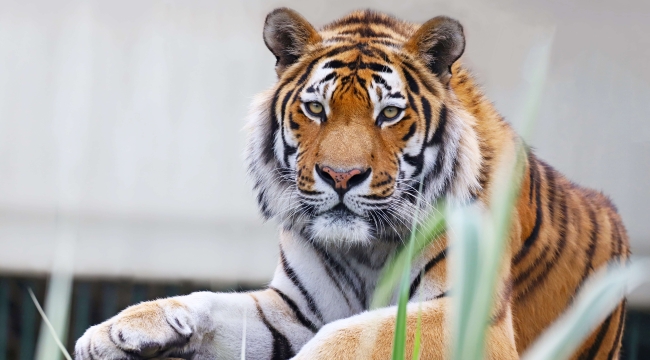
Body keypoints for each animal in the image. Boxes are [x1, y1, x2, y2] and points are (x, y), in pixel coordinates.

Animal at [73, 8, 624, 360]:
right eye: (316, 108)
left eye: (389, 114)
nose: (341, 176)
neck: (368, 249)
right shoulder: (294, 311)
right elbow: (209, 302)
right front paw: (117, 330)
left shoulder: (467, 316)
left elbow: (353, 336)